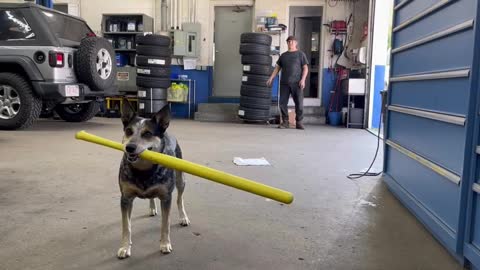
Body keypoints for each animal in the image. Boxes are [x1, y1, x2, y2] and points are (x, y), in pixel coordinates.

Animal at [116, 100, 189, 258]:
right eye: (129, 131)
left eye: (148, 133)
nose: (129, 147)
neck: (143, 170)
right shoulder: (125, 198)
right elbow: (126, 226)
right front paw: (125, 247)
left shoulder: (166, 197)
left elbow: (165, 224)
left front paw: (165, 244)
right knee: (152, 197)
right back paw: (152, 207)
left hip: (181, 179)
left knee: (180, 199)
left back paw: (183, 217)